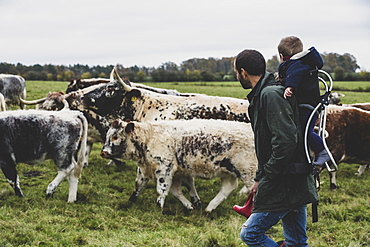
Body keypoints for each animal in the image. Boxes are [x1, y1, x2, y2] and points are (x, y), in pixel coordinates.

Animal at [101, 118, 258, 211]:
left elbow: (162, 189)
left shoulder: (164, 168)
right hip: (229, 171)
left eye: (115, 136)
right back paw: (209, 208)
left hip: (249, 172)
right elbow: (140, 186)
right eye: (108, 135)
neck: (149, 136)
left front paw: (159, 208)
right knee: (228, 188)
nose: (103, 152)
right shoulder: (150, 169)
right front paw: (130, 202)